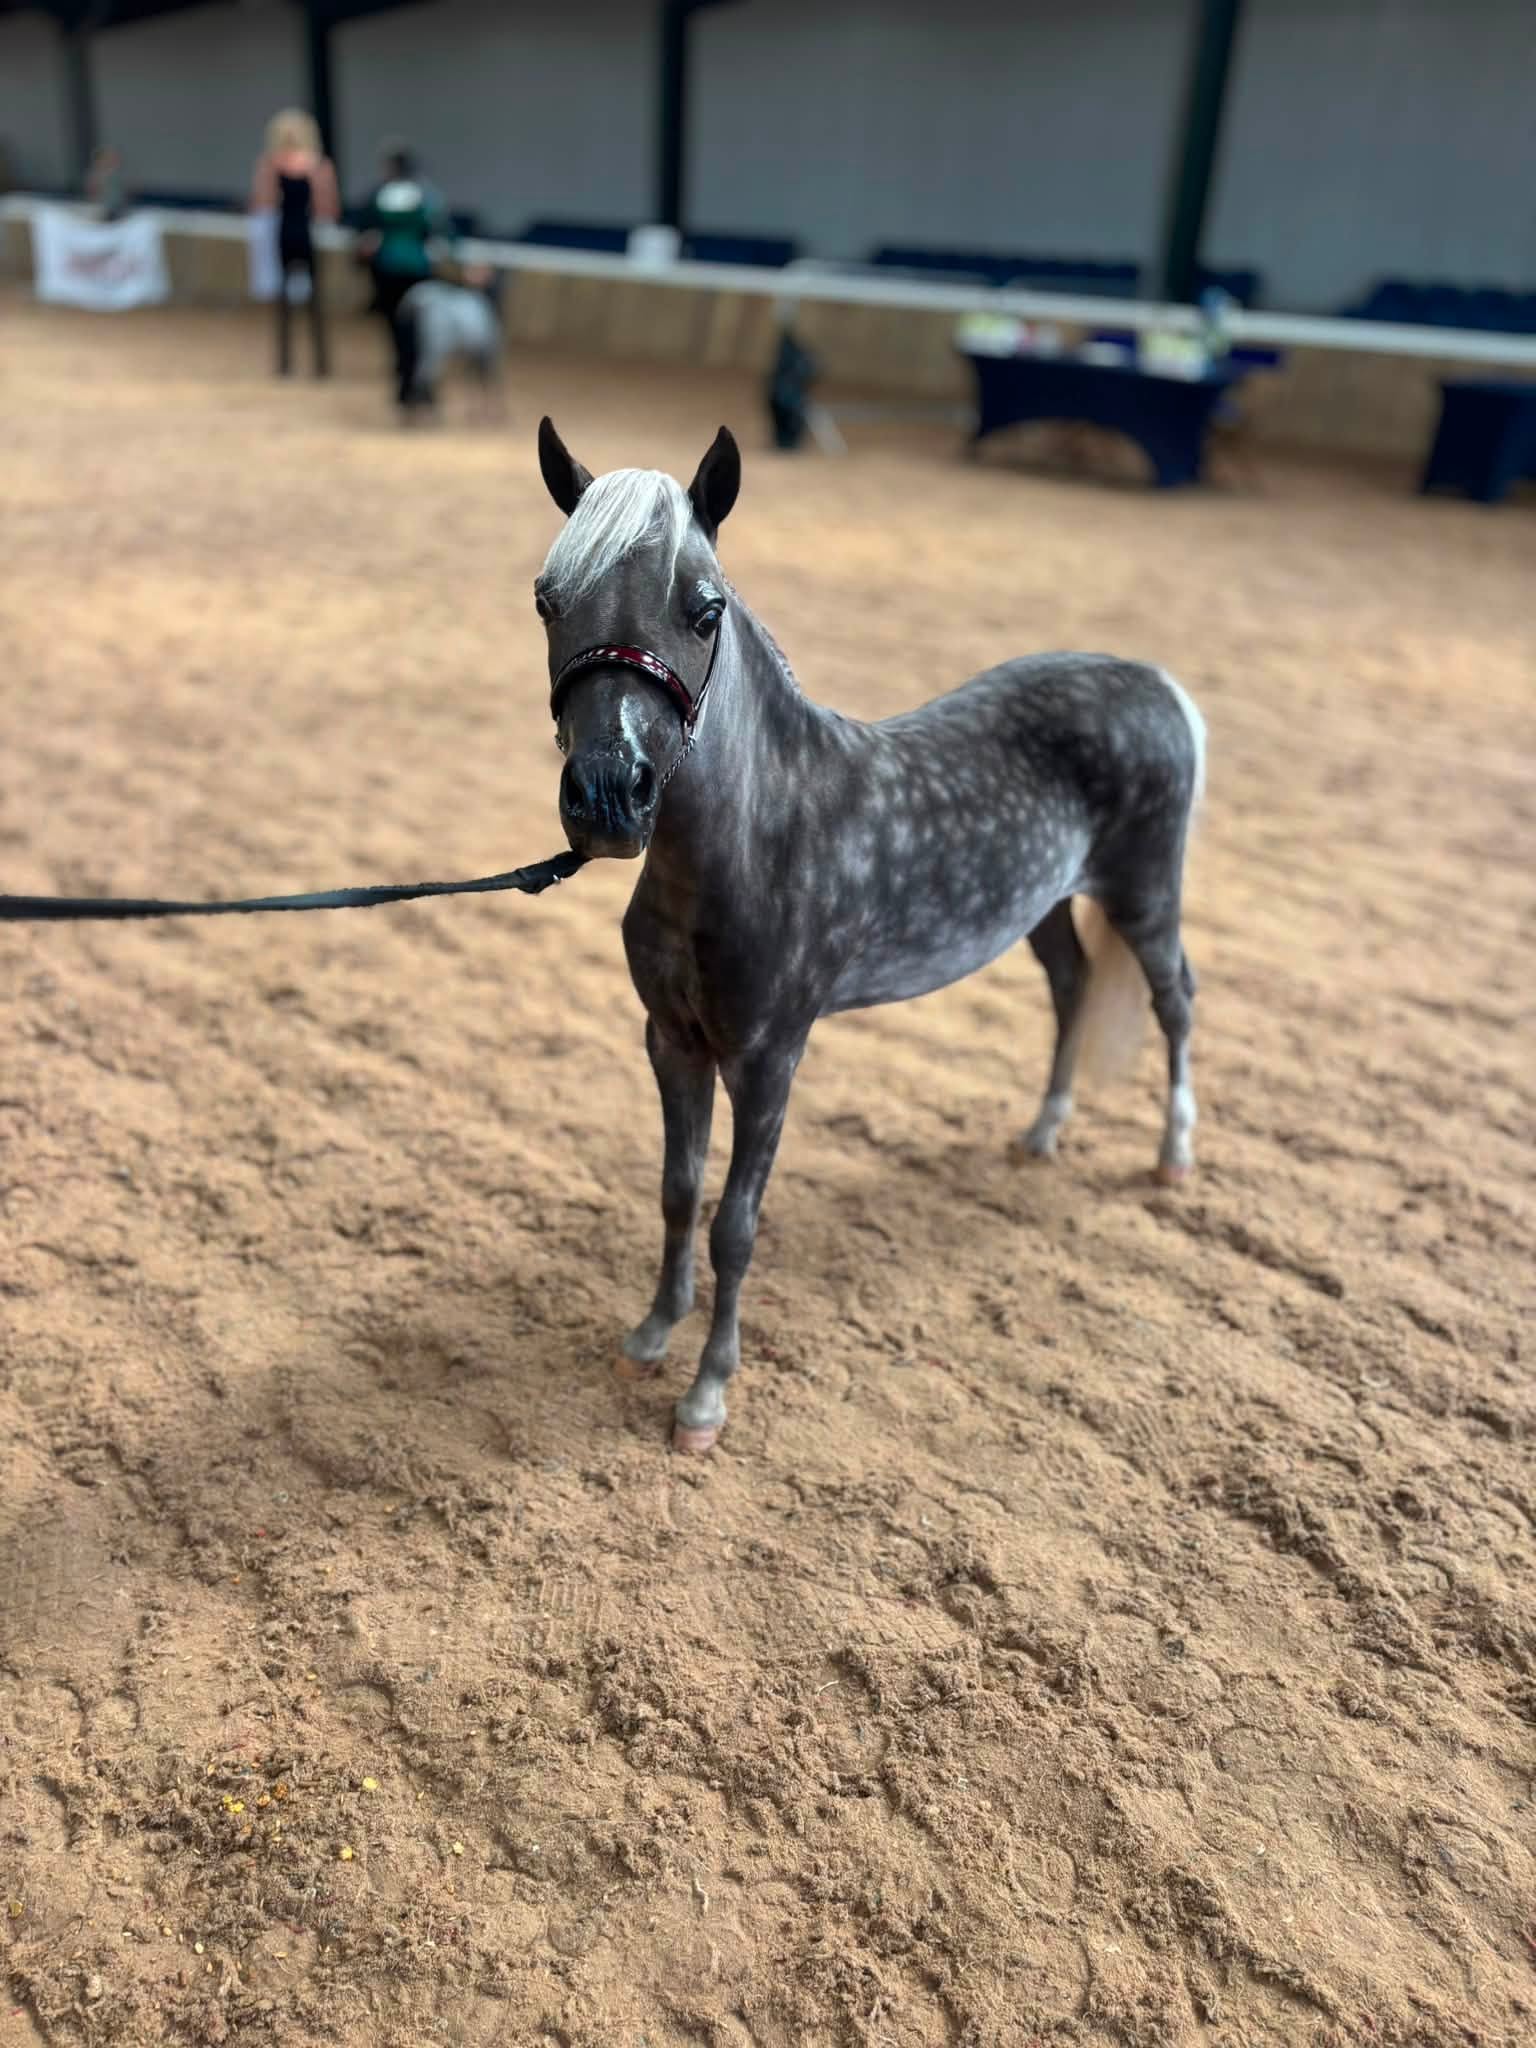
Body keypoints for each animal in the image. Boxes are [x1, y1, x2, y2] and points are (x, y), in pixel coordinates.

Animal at [535, 418, 1205, 1454]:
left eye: (705, 609)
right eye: (547, 601)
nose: (610, 797)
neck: (754, 839)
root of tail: (1159, 686)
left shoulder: (769, 1058)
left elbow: (735, 1223)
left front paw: (706, 1398)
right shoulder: (671, 1041)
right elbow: (679, 1190)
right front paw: (650, 1336)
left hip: (1145, 894)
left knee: (1174, 999)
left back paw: (1171, 1158)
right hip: (1045, 906)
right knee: (1072, 987)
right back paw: (1042, 1134)